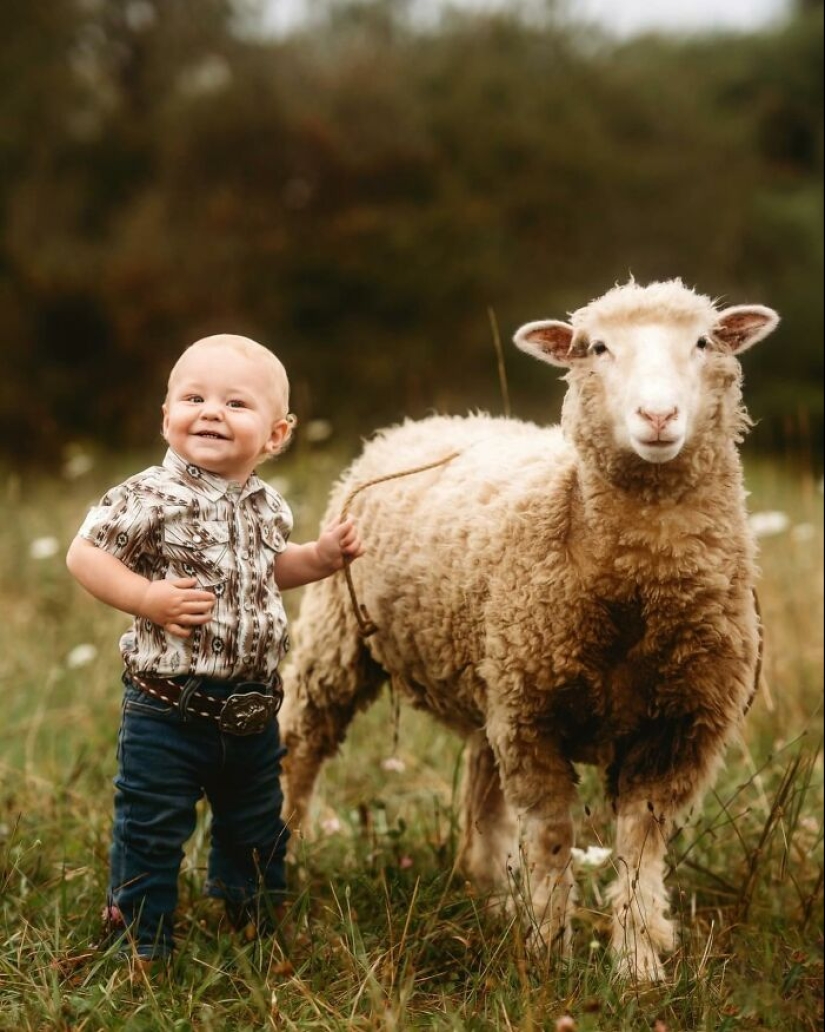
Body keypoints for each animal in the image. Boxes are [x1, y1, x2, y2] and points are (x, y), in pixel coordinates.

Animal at [280, 278, 776, 978]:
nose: (656, 417)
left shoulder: (678, 729)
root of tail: (430, 421)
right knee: (303, 744)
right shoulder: (535, 719)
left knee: (482, 791)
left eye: (703, 342)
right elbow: (551, 838)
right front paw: (548, 953)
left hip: (493, 672)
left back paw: (490, 897)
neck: (636, 596)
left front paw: (636, 965)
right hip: (341, 636)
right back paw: (285, 854)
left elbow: (639, 846)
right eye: (596, 347)